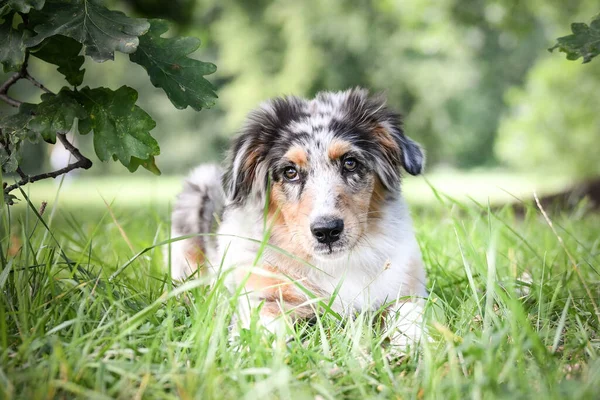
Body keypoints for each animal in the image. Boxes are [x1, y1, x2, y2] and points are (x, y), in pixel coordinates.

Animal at [169, 88, 426, 346]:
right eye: (290, 172)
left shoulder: (405, 286)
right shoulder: (263, 296)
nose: (327, 231)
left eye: (350, 162)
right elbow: (264, 332)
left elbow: (409, 315)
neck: (334, 266)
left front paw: (409, 346)